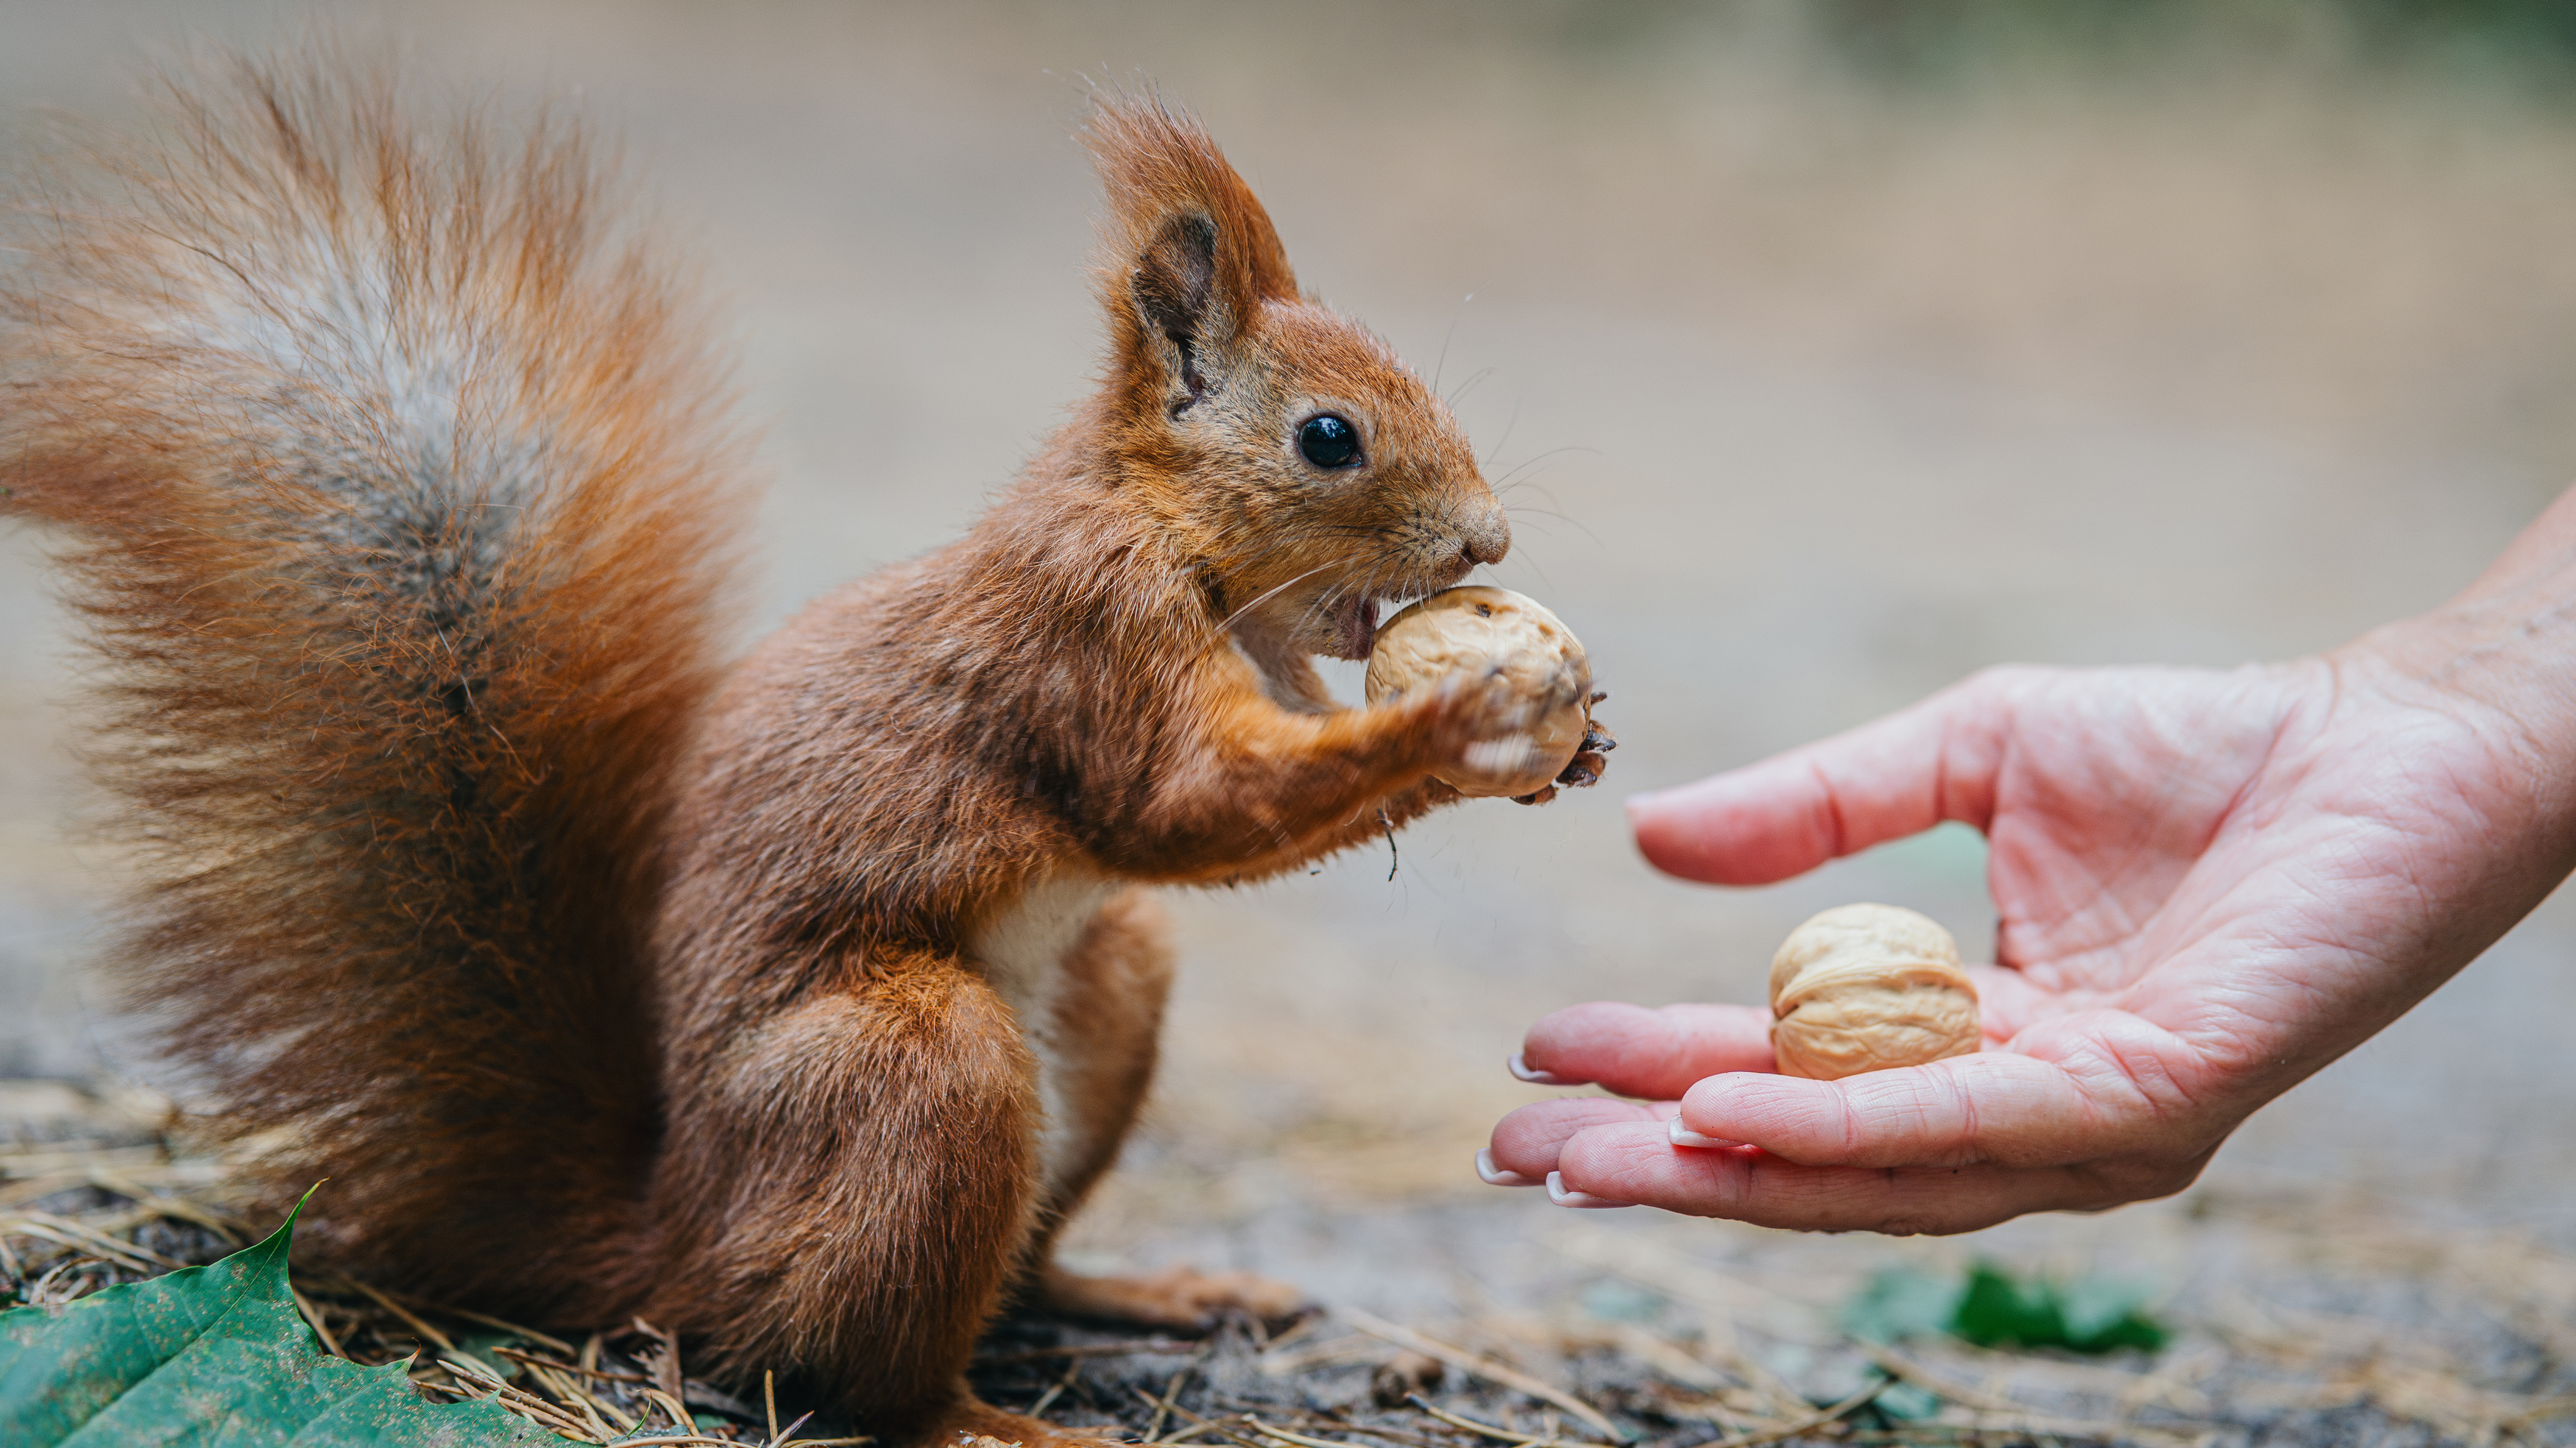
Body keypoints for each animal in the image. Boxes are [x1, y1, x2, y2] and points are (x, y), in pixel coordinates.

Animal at [4, 51, 1607, 1432]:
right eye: (1329, 437)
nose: (1488, 541)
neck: (1175, 537)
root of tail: (671, 1240)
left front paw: (1565, 752)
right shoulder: (1083, 638)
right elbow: (1182, 809)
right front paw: (1468, 713)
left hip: (1110, 991)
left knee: (1024, 1271)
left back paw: (1146, 1291)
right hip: (918, 1067)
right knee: (867, 1375)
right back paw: (991, 1421)